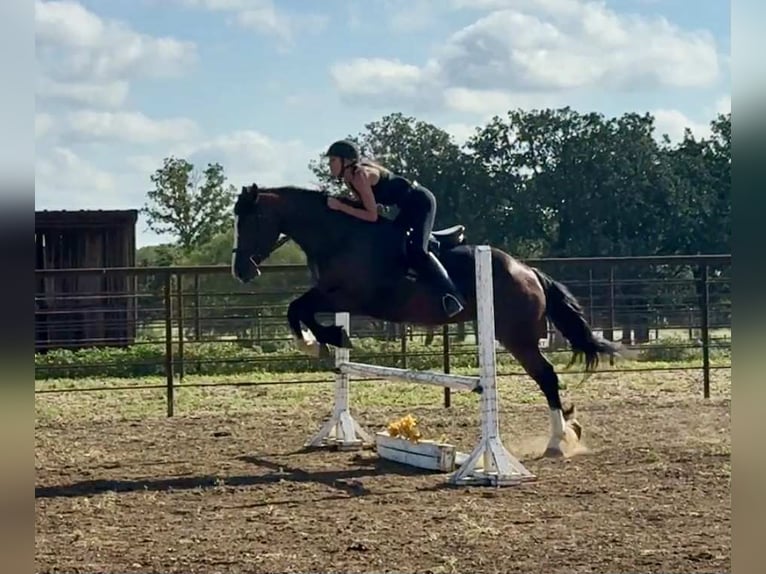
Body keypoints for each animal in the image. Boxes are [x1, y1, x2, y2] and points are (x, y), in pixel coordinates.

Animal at [231, 183, 626, 457]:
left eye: (251, 221)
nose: (240, 271)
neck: (341, 235)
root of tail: (527, 270)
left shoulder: (350, 297)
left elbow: (299, 309)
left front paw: (325, 341)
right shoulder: (333, 295)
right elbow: (298, 309)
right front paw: (321, 342)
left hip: (517, 336)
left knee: (546, 377)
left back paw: (558, 440)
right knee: (549, 378)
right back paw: (570, 428)